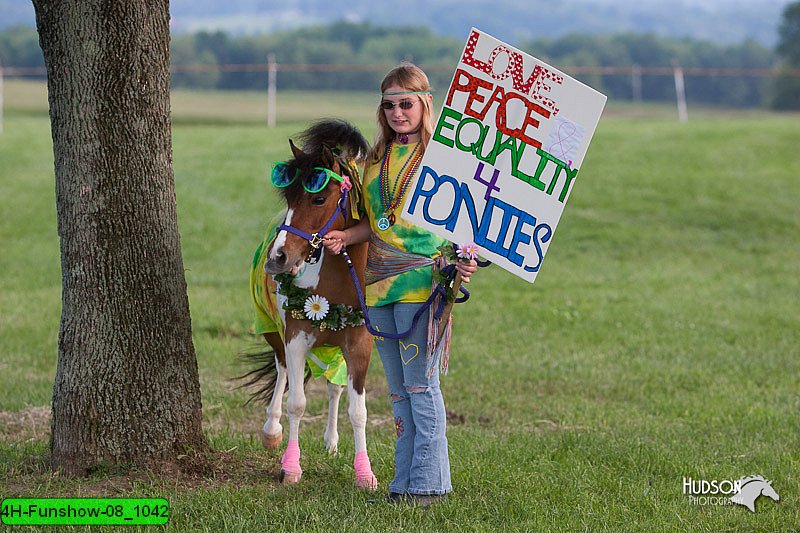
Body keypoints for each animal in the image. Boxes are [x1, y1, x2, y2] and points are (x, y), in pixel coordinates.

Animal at [244, 118, 378, 488]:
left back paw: (331, 441)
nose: (278, 257)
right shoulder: (295, 338)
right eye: (288, 196)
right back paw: (271, 429)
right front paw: (291, 467)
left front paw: (364, 472)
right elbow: (297, 403)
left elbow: (357, 409)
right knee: (282, 372)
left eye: (318, 199)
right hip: (272, 330)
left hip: (334, 347)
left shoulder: (359, 346)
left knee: (334, 386)